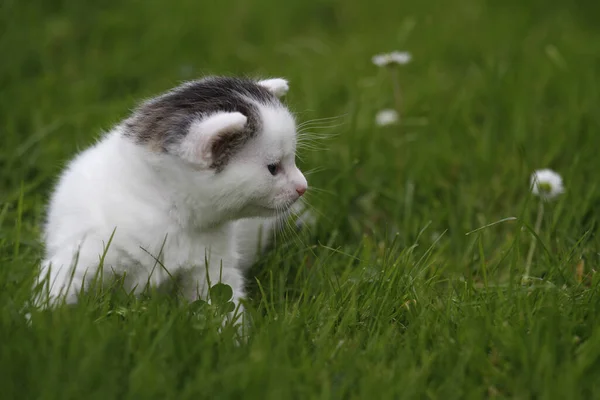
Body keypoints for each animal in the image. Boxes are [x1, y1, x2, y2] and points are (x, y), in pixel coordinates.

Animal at [36, 76, 310, 318]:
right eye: (273, 168)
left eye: (292, 160)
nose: (303, 187)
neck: (165, 209)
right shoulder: (85, 250)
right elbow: (60, 283)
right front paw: (39, 322)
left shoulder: (211, 268)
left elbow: (224, 304)